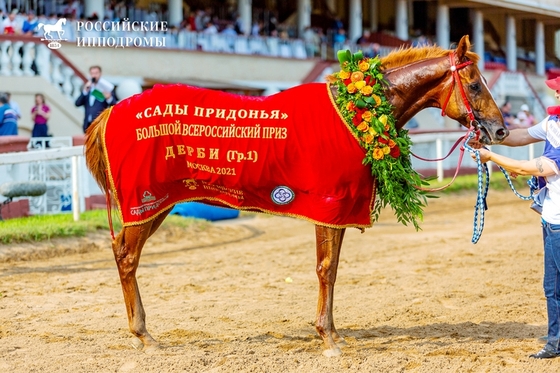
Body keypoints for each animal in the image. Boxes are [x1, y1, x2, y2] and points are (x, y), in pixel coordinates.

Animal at [83, 35, 508, 358]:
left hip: (157, 204)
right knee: (127, 257)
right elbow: (326, 269)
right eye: (474, 84)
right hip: (147, 202)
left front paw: (332, 332)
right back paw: (143, 335)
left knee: (125, 255)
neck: (358, 109)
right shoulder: (329, 205)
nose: (500, 130)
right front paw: (327, 339)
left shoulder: (338, 210)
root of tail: (112, 111)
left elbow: (332, 270)